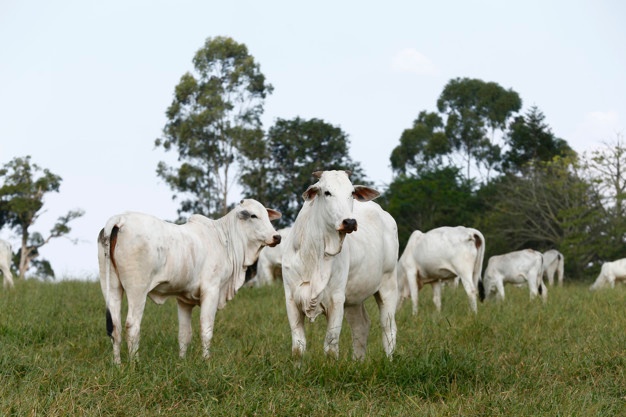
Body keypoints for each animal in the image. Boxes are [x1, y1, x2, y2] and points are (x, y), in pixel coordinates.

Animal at [97, 197, 280, 362]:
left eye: (266, 214)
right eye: (254, 216)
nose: (277, 237)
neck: (224, 239)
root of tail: (120, 218)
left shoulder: (184, 299)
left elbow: (184, 334)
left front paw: (182, 361)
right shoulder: (211, 291)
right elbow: (206, 329)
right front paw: (206, 361)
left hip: (111, 287)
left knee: (115, 327)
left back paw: (118, 364)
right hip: (137, 289)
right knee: (132, 325)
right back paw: (134, 363)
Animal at [282, 171, 398, 360]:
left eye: (352, 192)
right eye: (327, 192)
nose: (349, 222)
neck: (314, 254)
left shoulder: (336, 299)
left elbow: (331, 346)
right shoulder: (291, 299)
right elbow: (298, 349)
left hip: (389, 285)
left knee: (388, 327)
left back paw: (389, 360)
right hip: (353, 298)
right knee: (361, 326)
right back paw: (358, 362)